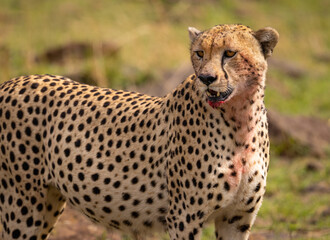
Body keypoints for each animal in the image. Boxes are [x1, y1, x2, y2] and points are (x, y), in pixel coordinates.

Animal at [0, 24, 278, 240]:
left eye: (230, 53)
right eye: (199, 53)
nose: (206, 78)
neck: (240, 119)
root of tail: (13, 81)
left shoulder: (237, 218)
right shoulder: (184, 218)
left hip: (47, 202)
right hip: (22, 206)